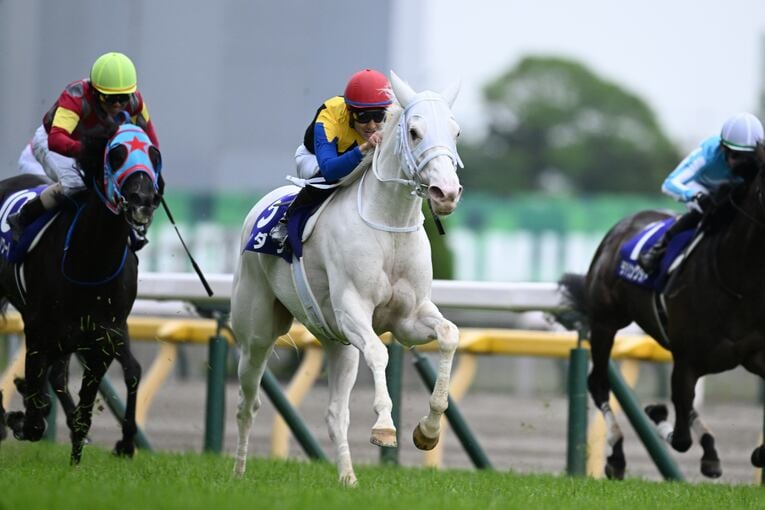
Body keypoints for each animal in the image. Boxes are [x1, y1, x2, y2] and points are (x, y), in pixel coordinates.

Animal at [0, 122, 161, 465]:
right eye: (116, 154)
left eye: (154, 154)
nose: (142, 198)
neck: (90, 259)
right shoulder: (39, 330)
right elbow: (35, 418)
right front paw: (19, 417)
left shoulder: (106, 334)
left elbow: (121, 379)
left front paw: (102, 447)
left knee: (59, 376)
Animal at [231, 71, 463, 486]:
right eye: (415, 131)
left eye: (455, 132)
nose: (446, 193)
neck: (389, 227)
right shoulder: (352, 309)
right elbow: (379, 352)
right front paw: (385, 427)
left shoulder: (408, 318)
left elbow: (449, 334)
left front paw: (428, 430)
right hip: (257, 329)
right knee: (248, 400)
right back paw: (239, 471)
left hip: (336, 341)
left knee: (335, 414)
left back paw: (348, 478)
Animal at [557, 147, 765, 480]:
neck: (738, 282)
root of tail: (626, 222)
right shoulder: (688, 358)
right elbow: (680, 438)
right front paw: (656, 413)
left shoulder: (754, 354)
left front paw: (756, 453)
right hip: (606, 322)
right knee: (599, 383)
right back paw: (617, 456)